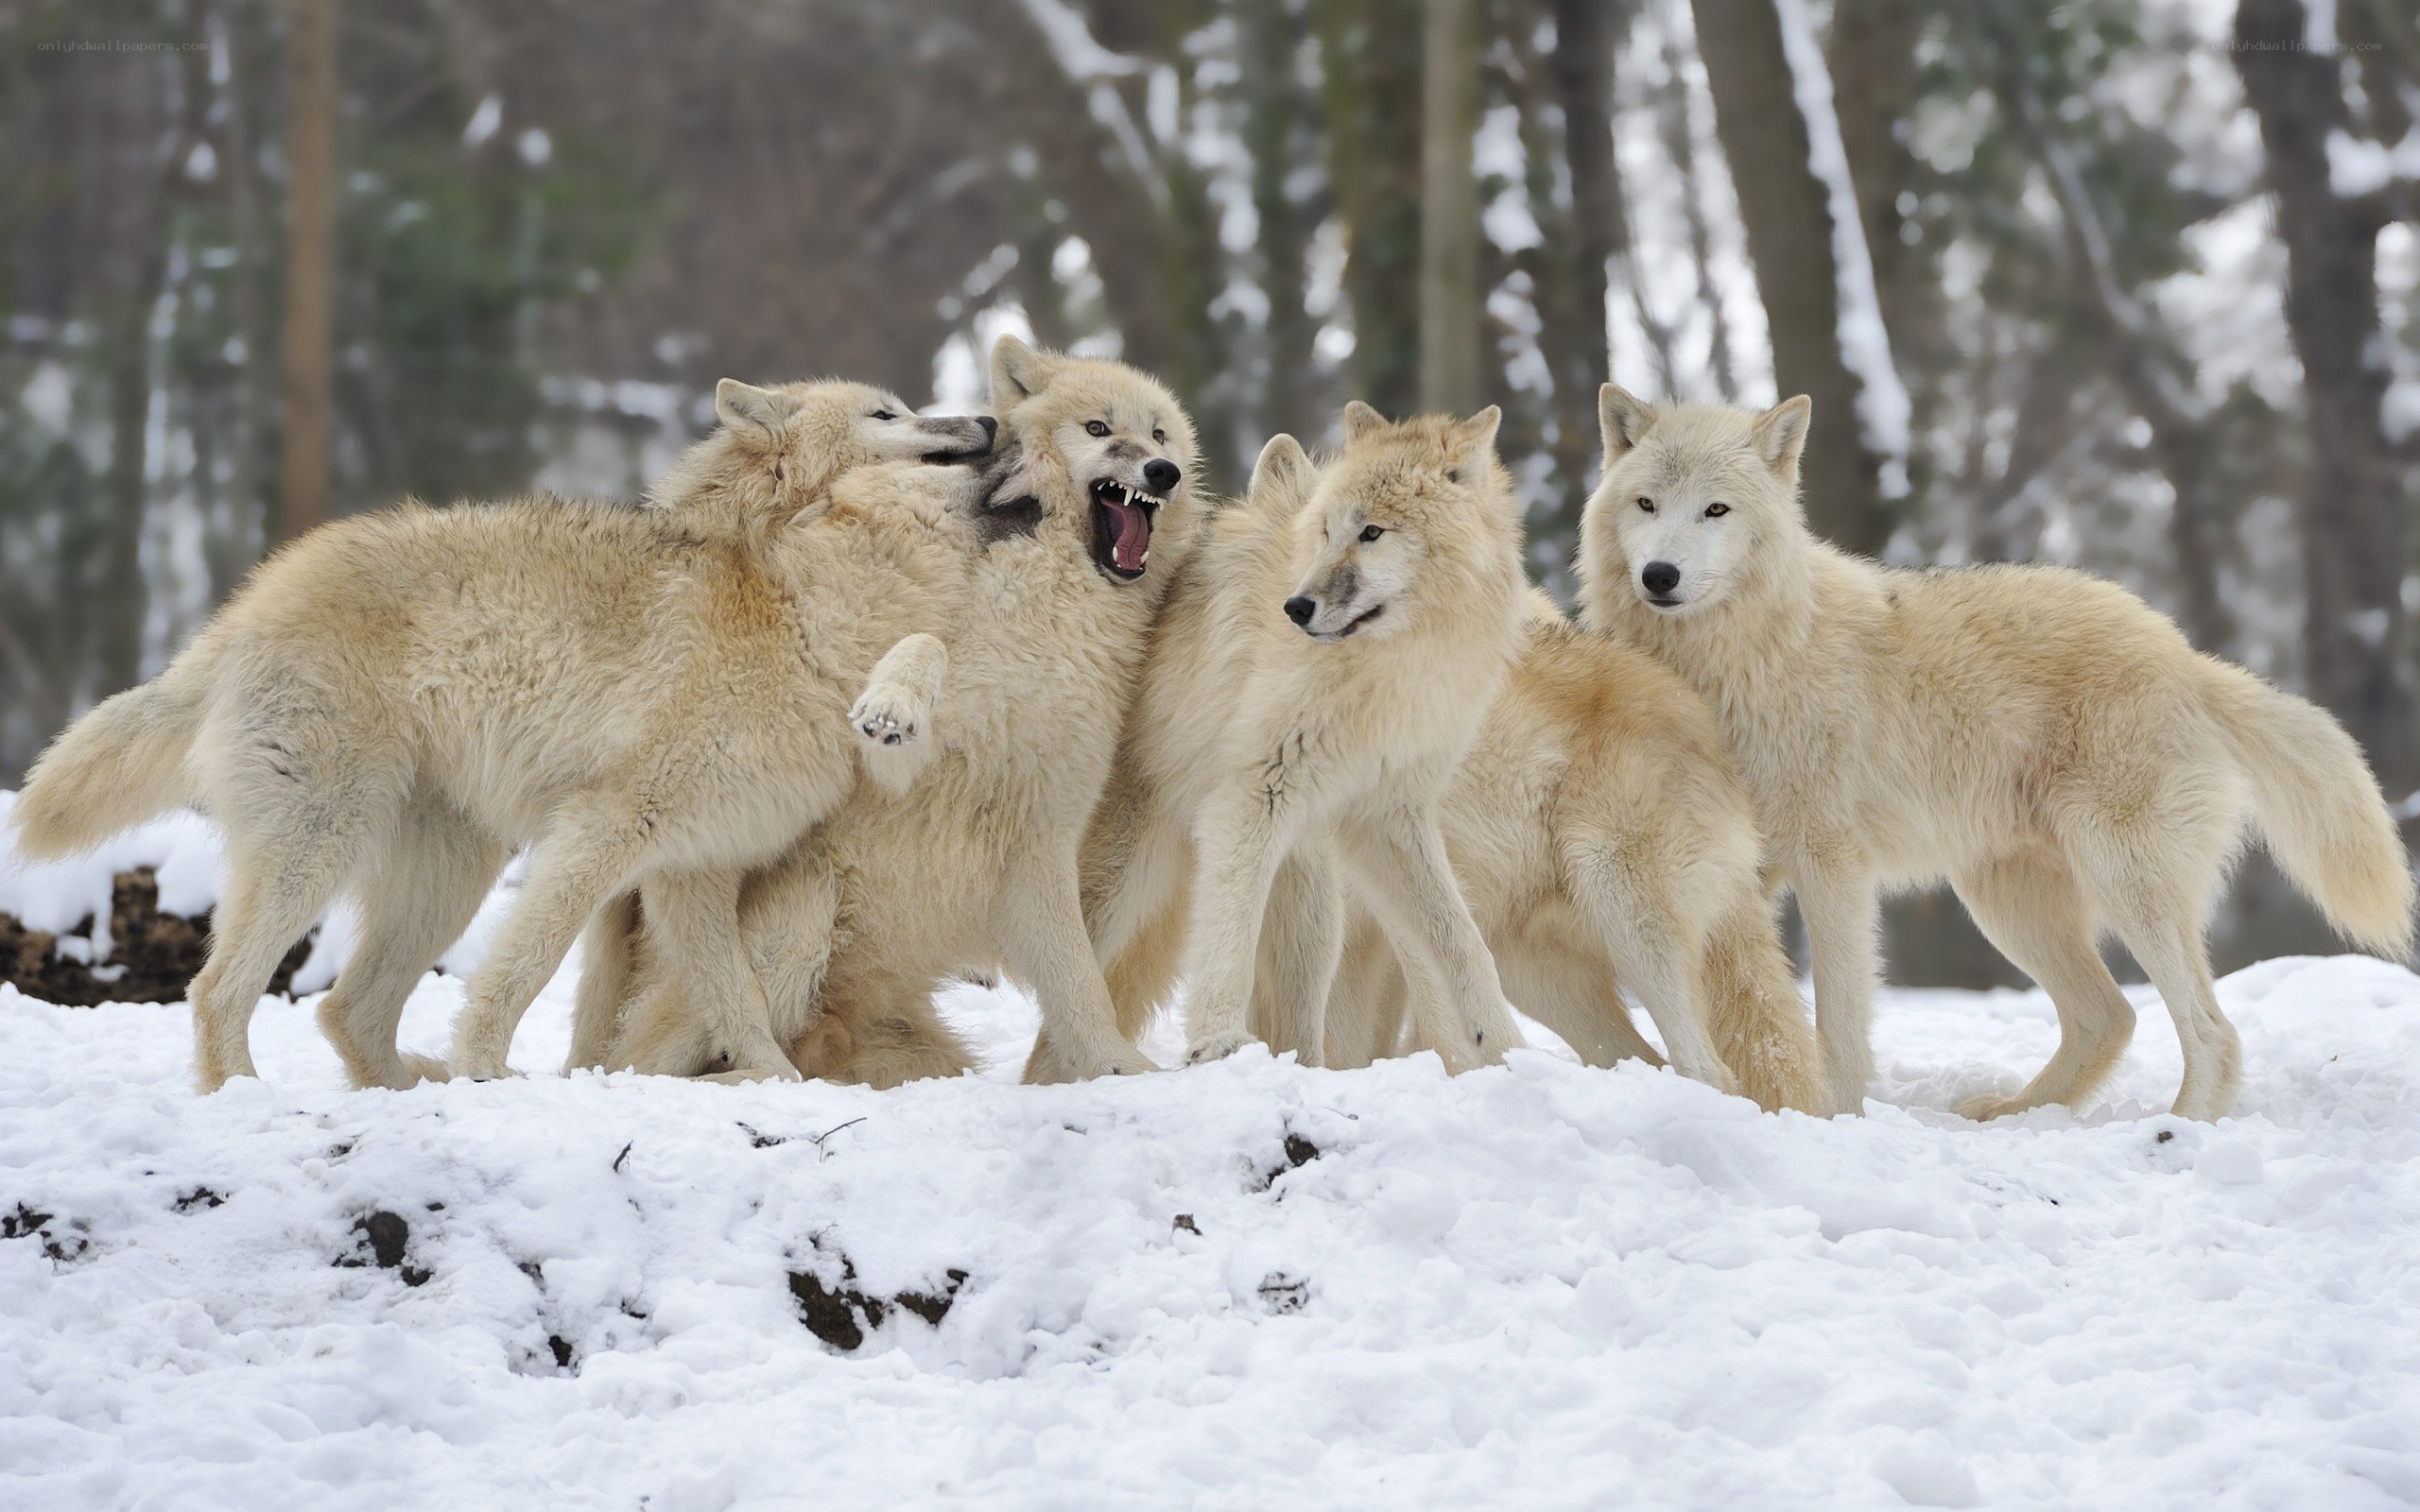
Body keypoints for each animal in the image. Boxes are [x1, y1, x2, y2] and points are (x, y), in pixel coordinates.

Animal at [8, 381, 994, 1091]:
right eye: (889, 413)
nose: (987, 420)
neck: (792, 615)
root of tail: (244, 605)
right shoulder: (605, 831)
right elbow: (527, 967)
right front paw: (486, 1067)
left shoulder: (694, 871)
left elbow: (738, 1002)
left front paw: (779, 1085)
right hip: (323, 846)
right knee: (218, 991)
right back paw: (252, 1101)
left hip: (449, 873)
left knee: (346, 1011)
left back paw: (407, 1090)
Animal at [575, 337, 1204, 1085]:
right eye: (1099, 429)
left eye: (1160, 435)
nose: (1162, 472)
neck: (1049, 605)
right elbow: (925, 648)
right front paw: (890, 705)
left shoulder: (1043, 829)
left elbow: (1082, 987)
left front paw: (1118, 1069)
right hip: (802, 911)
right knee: (654, 1063)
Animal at [1070, 403, 1530, 1074]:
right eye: (1326, 533)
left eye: (1372, 533)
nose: (1296, 607)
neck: (1390, 668)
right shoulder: (1254, 795)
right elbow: (1227, 937)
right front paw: (1217, 1041)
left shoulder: (1389, 816)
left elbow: (1464, 943)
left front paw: (1507, 1048)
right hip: (1119, 885)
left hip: (1312, 903)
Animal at [1579, 386, 2415, 1120]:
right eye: (1646, 505)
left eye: (1715, 510)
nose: (1660, 575)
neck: (1736, 662)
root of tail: (2187, 657)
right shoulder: (1737, 870)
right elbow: (1745, 1008)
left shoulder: (1830, 864)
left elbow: (1838, 1021)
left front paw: (1836, 1118)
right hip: (2007, 904)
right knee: (2110, 1016)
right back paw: (2017, 1116)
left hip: (2120, 882)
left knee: (2212, 1031)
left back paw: (2179, 1132)